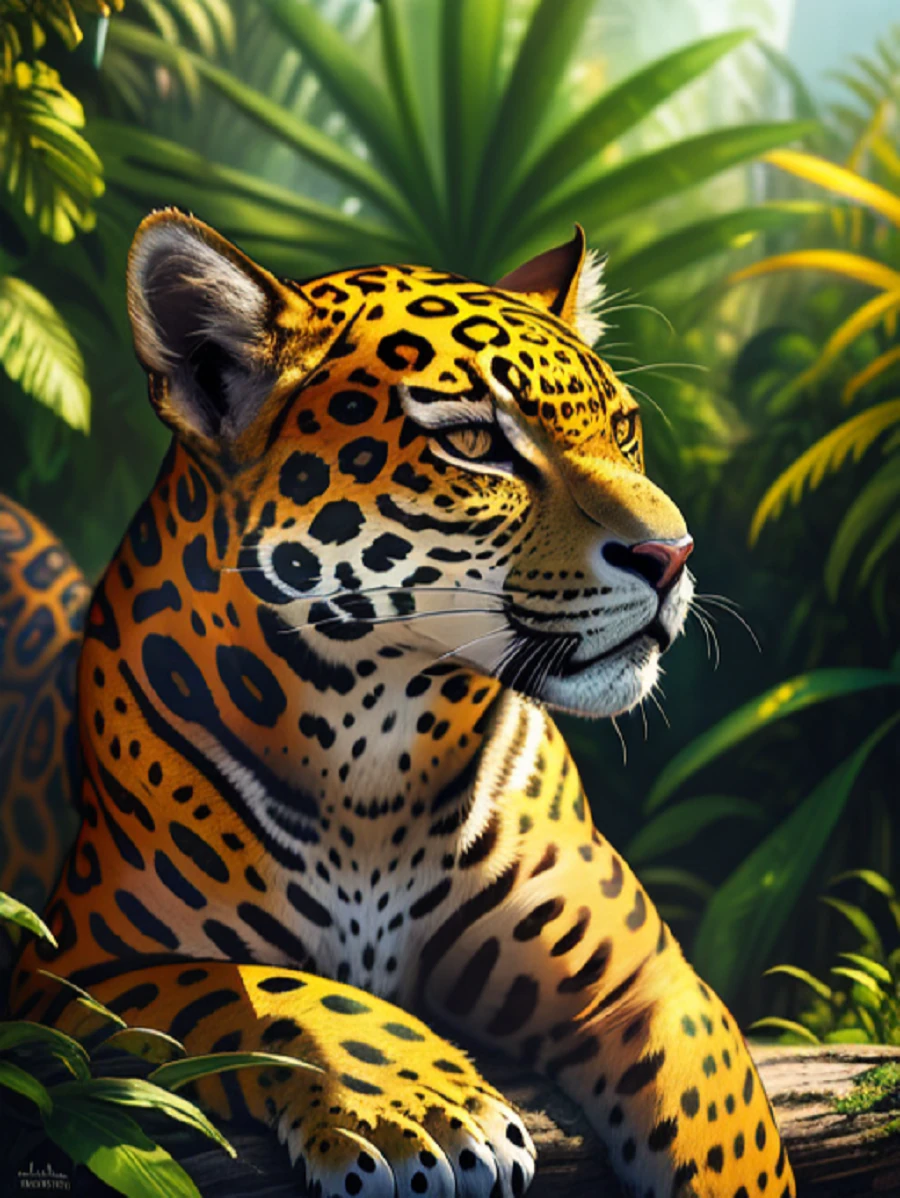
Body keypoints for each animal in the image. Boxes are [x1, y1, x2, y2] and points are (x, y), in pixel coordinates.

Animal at [1, 209, 794, 1198]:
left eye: (623, 428)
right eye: (475, 443)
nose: (673, 555)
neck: (376, 732)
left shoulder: (650, 981)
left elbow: (729, 1140)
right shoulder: (69, 976)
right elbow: (276, 986)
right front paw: (426, 1112)